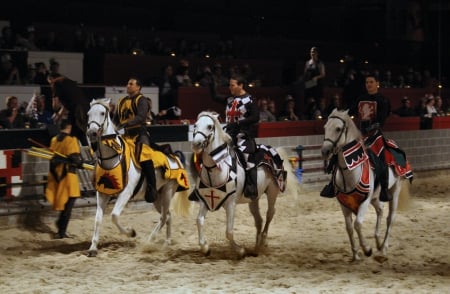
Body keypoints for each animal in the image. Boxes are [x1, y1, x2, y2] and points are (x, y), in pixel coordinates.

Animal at [85, 97, 190, 256]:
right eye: (88, 113)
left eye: (103, 113)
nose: (91, 133)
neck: (113, 159)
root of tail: (175, 158)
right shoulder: (102, 193)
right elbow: (97, 219)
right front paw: (93, 248)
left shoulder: (126, 193)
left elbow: (114, 216)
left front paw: (131, 233)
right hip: (157, 197)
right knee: (168, 216)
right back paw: (166, 242)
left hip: (167, 192)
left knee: (164, 217)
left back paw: (150, 241)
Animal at [191, 110, 290, 258]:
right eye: (195, 125)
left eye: (209, 126)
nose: (196, 144)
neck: (216, 170)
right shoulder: (205, 201)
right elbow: (199, 221)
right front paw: (205, 247)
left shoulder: (231, 204)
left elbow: (229, 231)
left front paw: (240, 251)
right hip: (254, 199)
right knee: (259, 220)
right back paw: (256, 248)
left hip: (272, 191)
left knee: (270, 213)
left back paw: (263, 241)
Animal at [322, 109, 414, 260]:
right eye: (325, 127)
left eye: (338, 129)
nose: (325, 151)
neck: (351, 170)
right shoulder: (344, 204)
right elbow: (349, 228)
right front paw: (355, 254)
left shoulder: (364, 202)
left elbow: (357, 224)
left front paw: (367, 249)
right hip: (376, 197)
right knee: (380, 211)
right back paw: (378, 243)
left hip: (395, 190)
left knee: (390, 218)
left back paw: (384, 249)